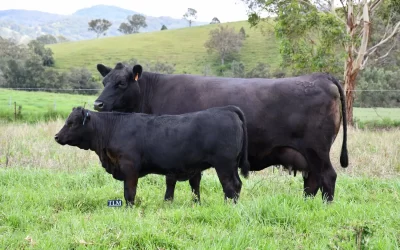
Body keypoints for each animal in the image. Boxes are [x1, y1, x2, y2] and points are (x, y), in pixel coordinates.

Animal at [55, 105, 250, 205]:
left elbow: (129, 193)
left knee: (230, 186)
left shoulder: (129, 168)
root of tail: (227, 109)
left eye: (72, 123)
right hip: (231, 165)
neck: (112, 128)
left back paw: (228, 205)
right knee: (237, 185)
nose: (56, 136)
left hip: (224, 165)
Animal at [93, 62, 346, 201]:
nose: (98, 104)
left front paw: (169, 202)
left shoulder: (174, 147)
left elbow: (172, 179)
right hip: (307, 155)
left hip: (317, 149)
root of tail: (320, 76)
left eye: (121, 84)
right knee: (312, 181)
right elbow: (193, 180)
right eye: (104, 82)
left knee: (328, 177)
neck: (153, 92)